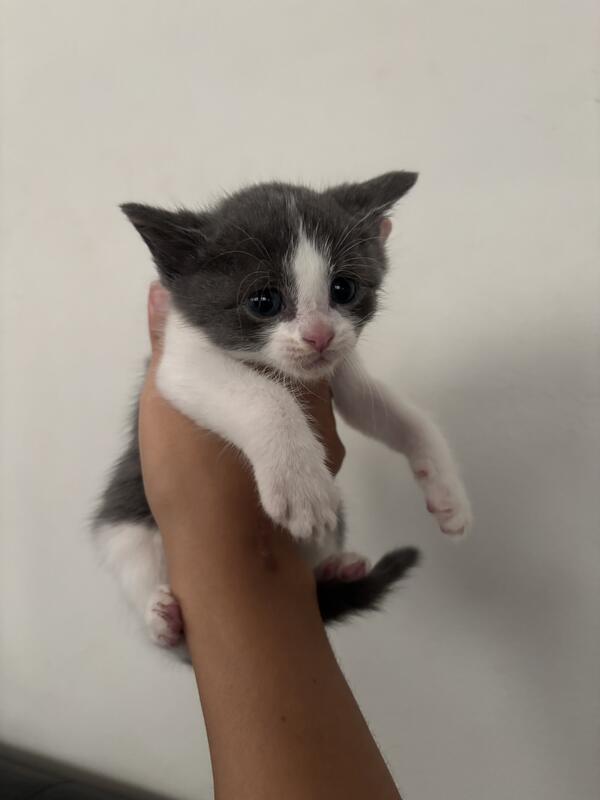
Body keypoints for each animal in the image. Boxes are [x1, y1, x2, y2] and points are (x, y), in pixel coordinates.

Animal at [93, 172, 472, 654]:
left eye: (344, 289)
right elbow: (266, 397)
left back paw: (336, 568)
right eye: (263, 302)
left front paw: (448, 494)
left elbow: (394, 412)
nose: (319, 335)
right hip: (125, 525)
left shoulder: (341, 370)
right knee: (134, 561)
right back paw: (162, 618)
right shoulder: (178, 362)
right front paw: (301, 485)